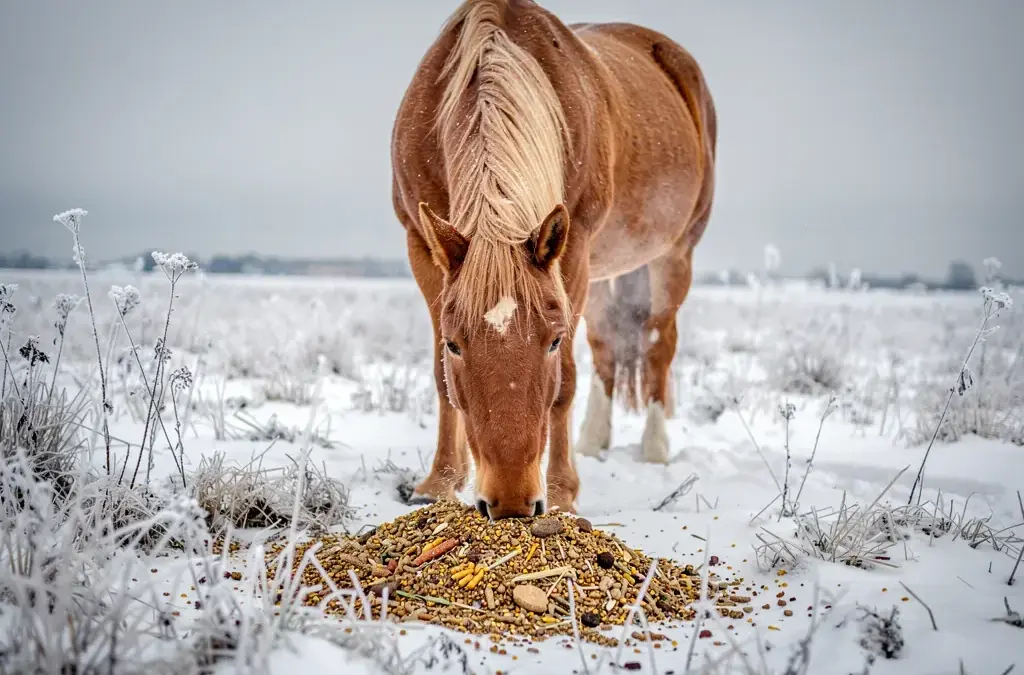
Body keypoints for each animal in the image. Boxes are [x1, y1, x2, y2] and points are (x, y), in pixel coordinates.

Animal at [390, 0, 716, 519]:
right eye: (455, 345)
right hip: (605, 272)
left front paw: (564, 494)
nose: (510, 503)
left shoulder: (574, 248)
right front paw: (438, 484)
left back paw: (655, 448)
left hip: (673, 255)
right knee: (607, 345)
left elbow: (565, 382)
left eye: (553, 341)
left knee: (658, 343)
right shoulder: (419, 243)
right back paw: (594, 441)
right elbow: (442, 381)